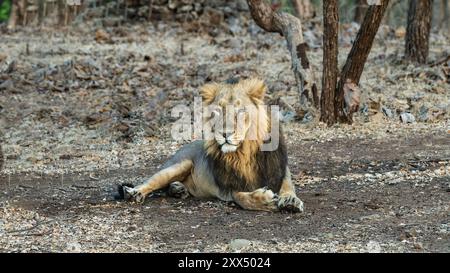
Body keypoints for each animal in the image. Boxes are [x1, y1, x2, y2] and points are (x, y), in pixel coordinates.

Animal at [116, 77, 304, 211]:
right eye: (218, 111)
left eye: (240, 110)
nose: (225, 133)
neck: (244, 152)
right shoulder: (229, 187)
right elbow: (243, 198)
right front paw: (265, 201)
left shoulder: (280, 170)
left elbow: (288, 185)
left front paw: (290, 200)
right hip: (179, 164)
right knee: (150, 181)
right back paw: (134, 192)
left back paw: (178, 189)